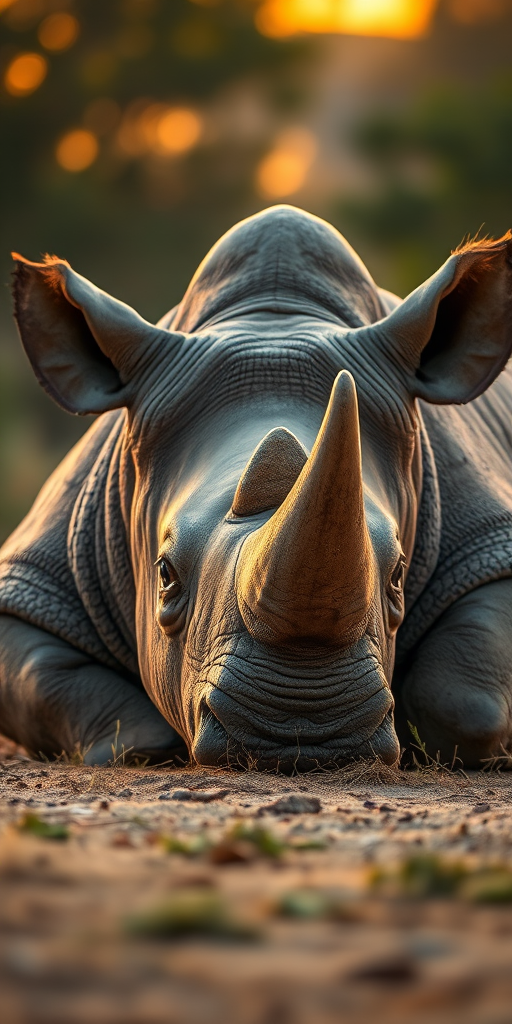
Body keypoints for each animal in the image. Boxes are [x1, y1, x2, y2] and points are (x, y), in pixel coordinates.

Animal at [1, 205, 512, 770]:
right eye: (164, 574)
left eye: (398, 574)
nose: (303, 732)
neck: (271, 320)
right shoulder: (38, 582)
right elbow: (110, 720)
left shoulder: (489, 540)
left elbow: (463, 704)